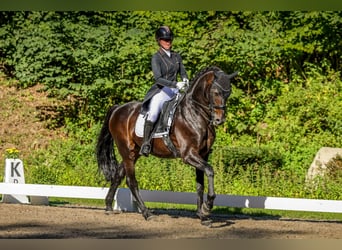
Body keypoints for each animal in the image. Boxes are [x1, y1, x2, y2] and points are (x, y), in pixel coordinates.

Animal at [95, 65, 238, 225]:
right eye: (216, 92)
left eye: (228, 93)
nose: (219, 120)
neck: (195, 113)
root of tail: (118, 108)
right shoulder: (189, 155)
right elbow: (210, 170)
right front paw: (207, 207)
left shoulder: (203, 155)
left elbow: (200, 184)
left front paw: (202, 216)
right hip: (127, 152)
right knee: (131, 181)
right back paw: (147, 213)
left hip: (133, 152)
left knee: (118, 175)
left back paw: (108, 206)